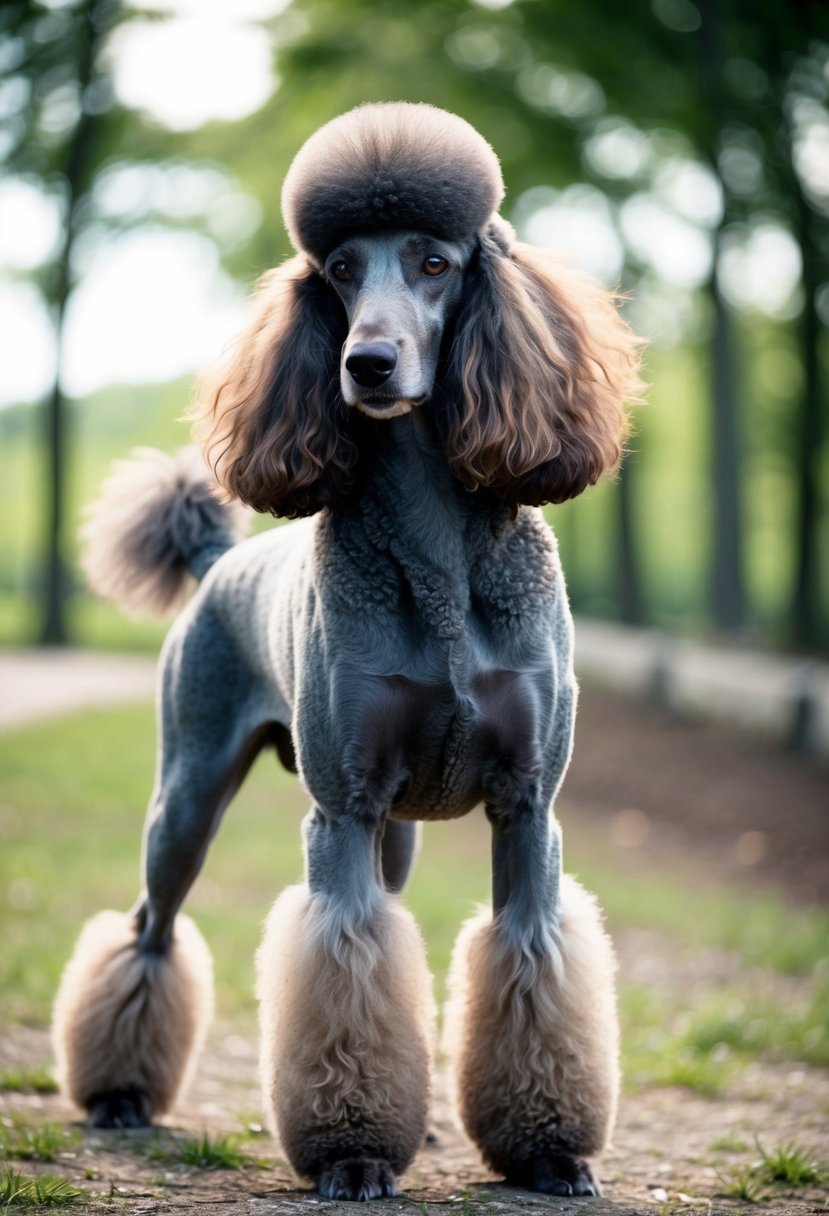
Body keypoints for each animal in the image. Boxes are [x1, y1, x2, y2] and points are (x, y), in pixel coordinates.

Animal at [51, 102, 641, 1196]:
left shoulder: (526, 809)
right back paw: (117, 1094)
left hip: (398, 834)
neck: (441, 568)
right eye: (335, 270)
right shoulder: (342, 811)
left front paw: (546, 1149)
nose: (365, 365)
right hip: (188, 795)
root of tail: (217, 563)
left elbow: (531, 962)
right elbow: (347, 971)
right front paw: (357, 1152)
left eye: (435, 262)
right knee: (148, 928)